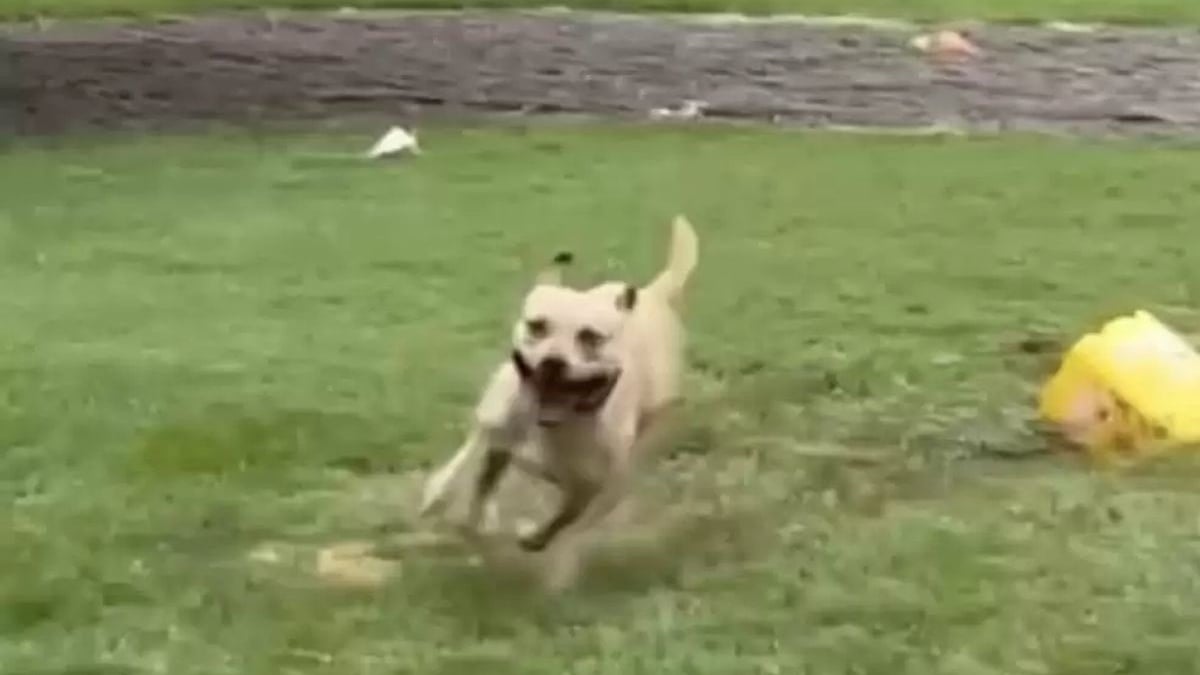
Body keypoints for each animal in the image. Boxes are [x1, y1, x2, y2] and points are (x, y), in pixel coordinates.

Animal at [420, 213, 700, 583]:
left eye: (591, 337)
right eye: (537, 325)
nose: (553, 361)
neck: (555, 428)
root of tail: (651, 295)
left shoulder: (598, 488)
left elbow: (566, 520)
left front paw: (539, 544)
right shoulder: (497, 430)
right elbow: (474, 468)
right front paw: (455, 506)